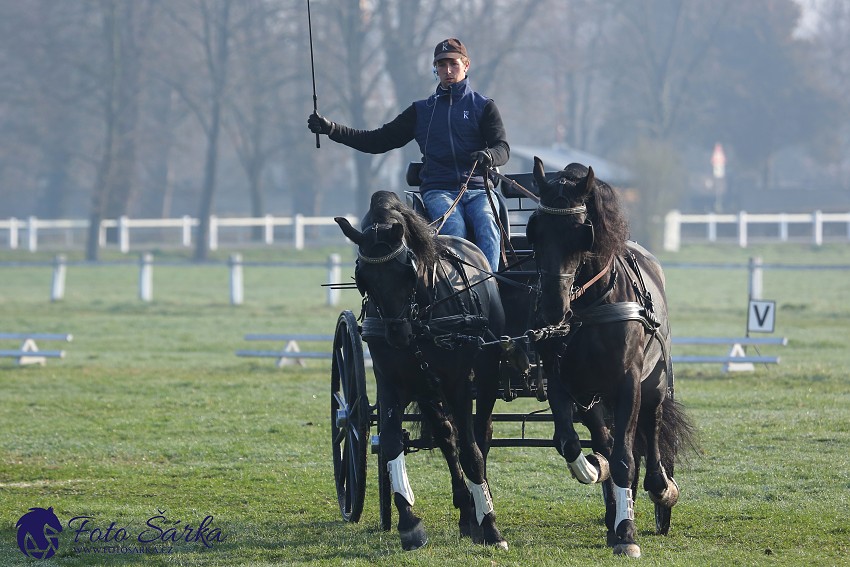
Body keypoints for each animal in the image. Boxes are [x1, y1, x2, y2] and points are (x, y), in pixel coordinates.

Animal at [334, 191, 506, 552]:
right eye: (363, 277)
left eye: (407, 271)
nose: (397, 334)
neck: (422, 317)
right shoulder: (392, 382)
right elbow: (390, 444)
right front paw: (410, 524)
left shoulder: (459, 384)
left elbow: (471, 451)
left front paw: (490, 526)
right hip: (427, 389)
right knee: (447, 437)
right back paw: (466, 513)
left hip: (484, 379)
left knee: (479, 435)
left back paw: (478, 508)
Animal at [524, 158, 696, 556]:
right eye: (536, 232)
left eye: (582, 233)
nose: (552, 308)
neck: (589, 306)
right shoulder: (563, 383)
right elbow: (570, 442)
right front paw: (594, 471)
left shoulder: (628, 384)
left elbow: (625, 458)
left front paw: (628, 533)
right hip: (594, 398)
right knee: (606, 439)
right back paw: (612, 510)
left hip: (654, 384)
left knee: (650, 431)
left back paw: (659, 491)